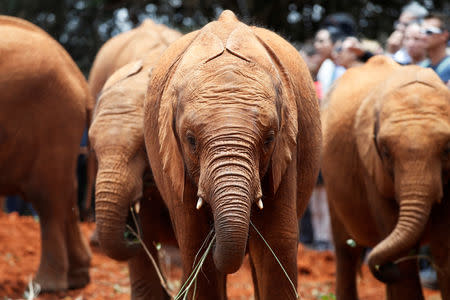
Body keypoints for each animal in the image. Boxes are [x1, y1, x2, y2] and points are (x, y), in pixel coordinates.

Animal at [322, 55, 450, 298]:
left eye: (447, 149)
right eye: (386, 152)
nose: (385, 269)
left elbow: (444, 249)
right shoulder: (371, 167)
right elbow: (405, 262)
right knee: (345, 250)